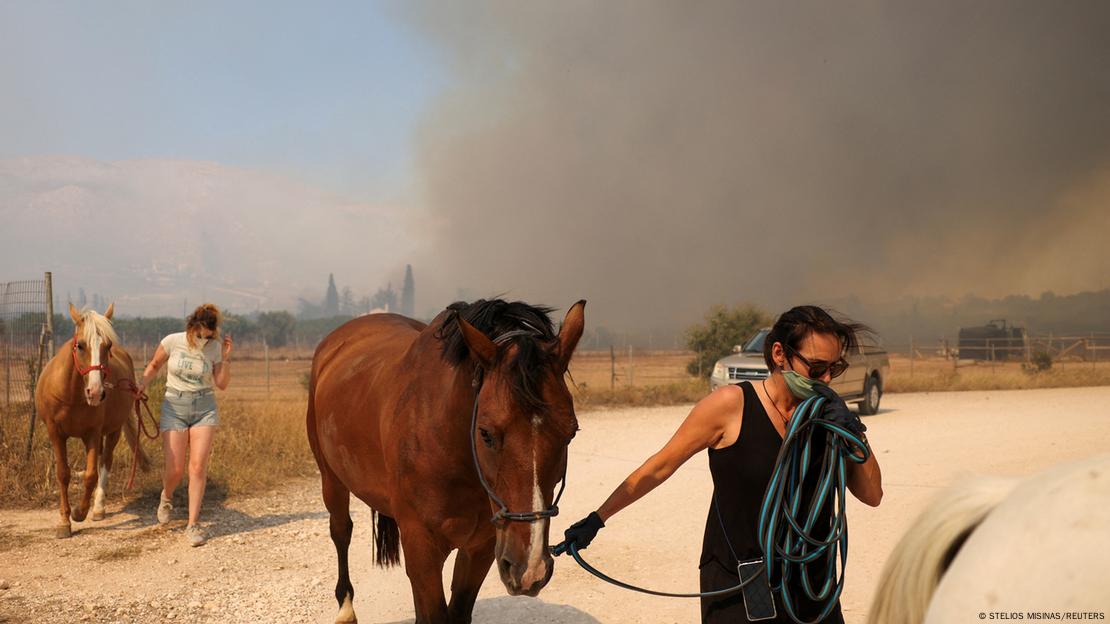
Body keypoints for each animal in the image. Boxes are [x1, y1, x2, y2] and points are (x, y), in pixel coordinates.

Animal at [34, 304, 148, 537]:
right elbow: (63, 474)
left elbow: (90, 475)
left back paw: (98, 508)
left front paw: (79, 512)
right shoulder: (55, 433)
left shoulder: (92, 434)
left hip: (113, 431)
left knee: (106, 462)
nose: (95, 392)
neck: (71, 396)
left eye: (108, 345)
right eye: (80, 345)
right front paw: (64, 522)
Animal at [308, 299, 586, 617]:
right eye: (485, 433)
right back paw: (345, 607)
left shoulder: (480, 549)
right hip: (331, 479)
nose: (529, 569)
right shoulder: (423, 555)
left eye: (570, 433)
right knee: (341, 531)